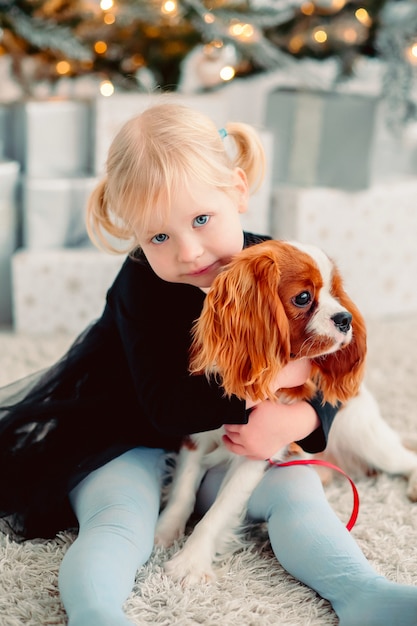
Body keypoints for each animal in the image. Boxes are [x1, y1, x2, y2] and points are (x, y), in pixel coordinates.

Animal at [154, 240, 416, 584]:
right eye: (303, 297)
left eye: (335, 292)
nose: (345, 318)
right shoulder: (196, 437)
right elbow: (183, 491)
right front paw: (164, 533)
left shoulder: (258, 449)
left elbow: (217, 511)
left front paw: (189, 562)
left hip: (367, 439)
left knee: (407, 459)